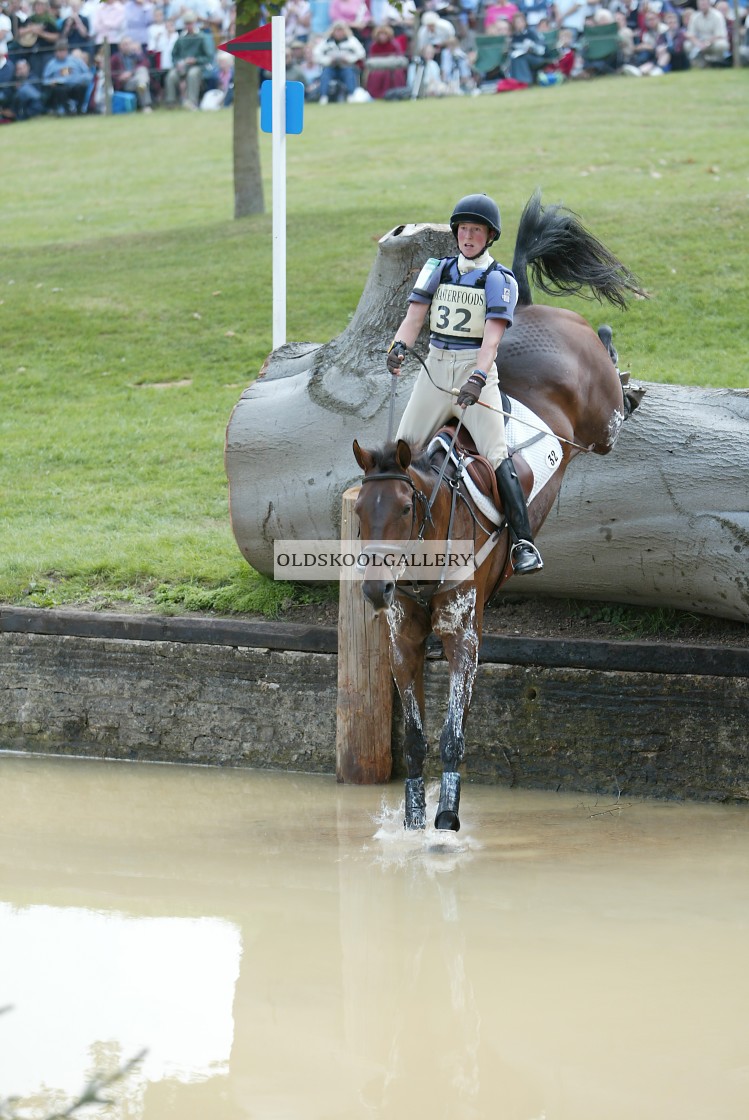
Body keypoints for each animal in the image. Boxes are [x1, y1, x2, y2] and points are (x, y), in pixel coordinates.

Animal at [351, 190, 644, 833]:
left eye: (406, 508)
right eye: (361, 511)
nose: (376, 589)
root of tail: (531, 309)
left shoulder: (465, 634)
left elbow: (453, 735)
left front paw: (446, 826)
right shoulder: (402, 639)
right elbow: (415, 736)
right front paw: (413, 825)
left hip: (602, 422)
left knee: (612, 374)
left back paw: (625, 369)